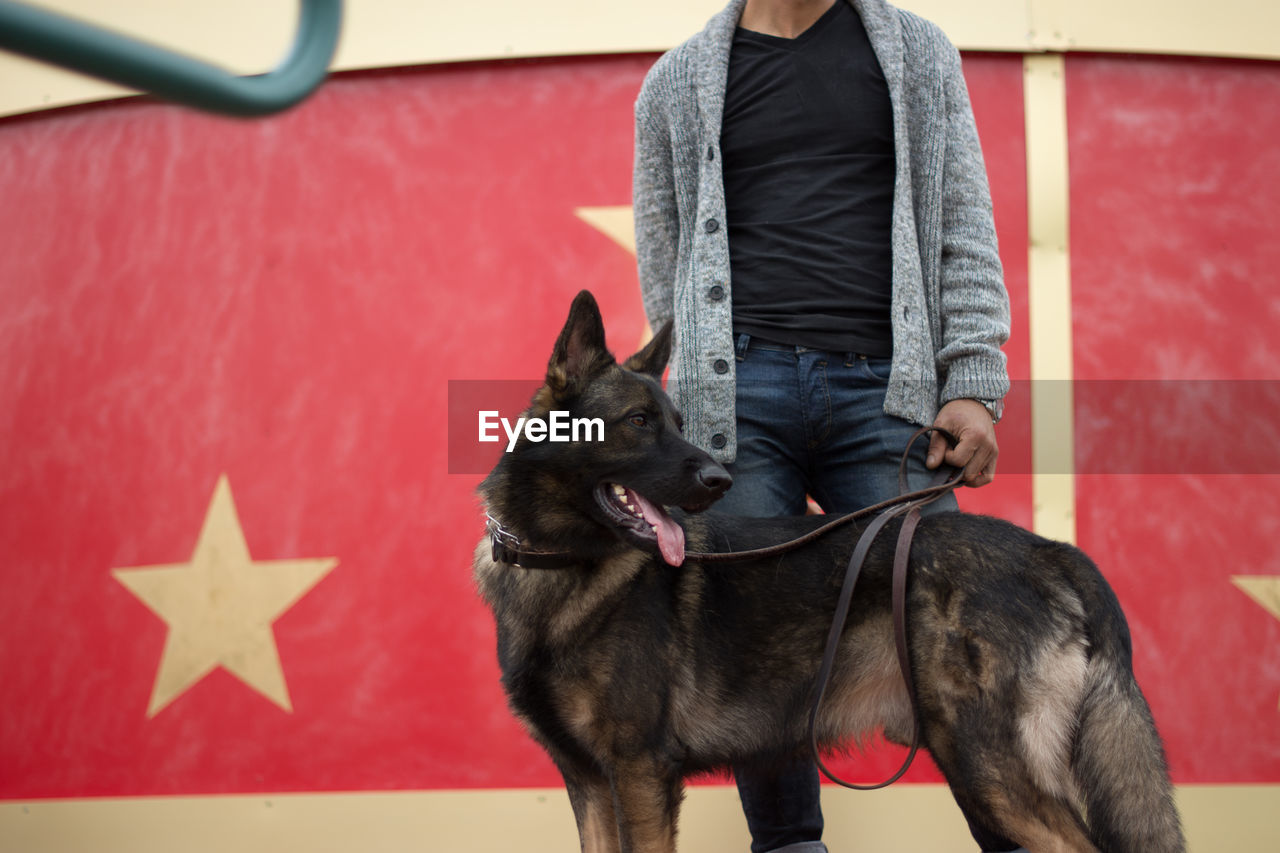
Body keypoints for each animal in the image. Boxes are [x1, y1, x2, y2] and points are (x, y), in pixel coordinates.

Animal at [476, 290, 1182, 850]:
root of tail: (1047, 548)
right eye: (639, 422)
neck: (561, 561)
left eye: (676, 423)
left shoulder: (638, 773)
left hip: (989, 765)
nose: (719, 478)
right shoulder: (592, 783)